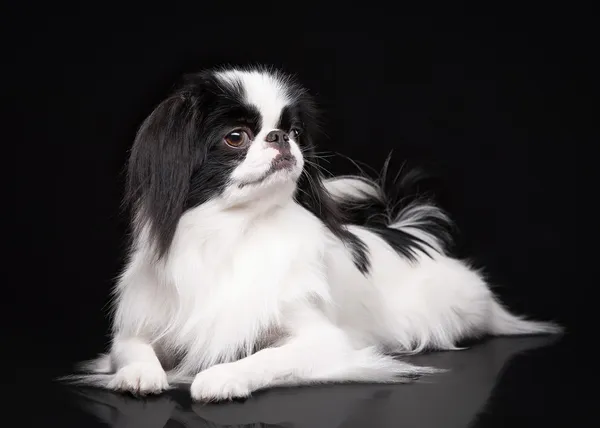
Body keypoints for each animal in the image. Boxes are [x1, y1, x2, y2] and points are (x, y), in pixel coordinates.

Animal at [65, 65, 564, 400]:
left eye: (295, 131)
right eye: (235, 137)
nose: (280, 139)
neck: (237, 230)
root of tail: (409, 234)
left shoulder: (322, 341)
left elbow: (263, 357)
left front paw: (221, 377)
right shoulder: (140, 329)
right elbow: (133, 351)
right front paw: (141, 376)